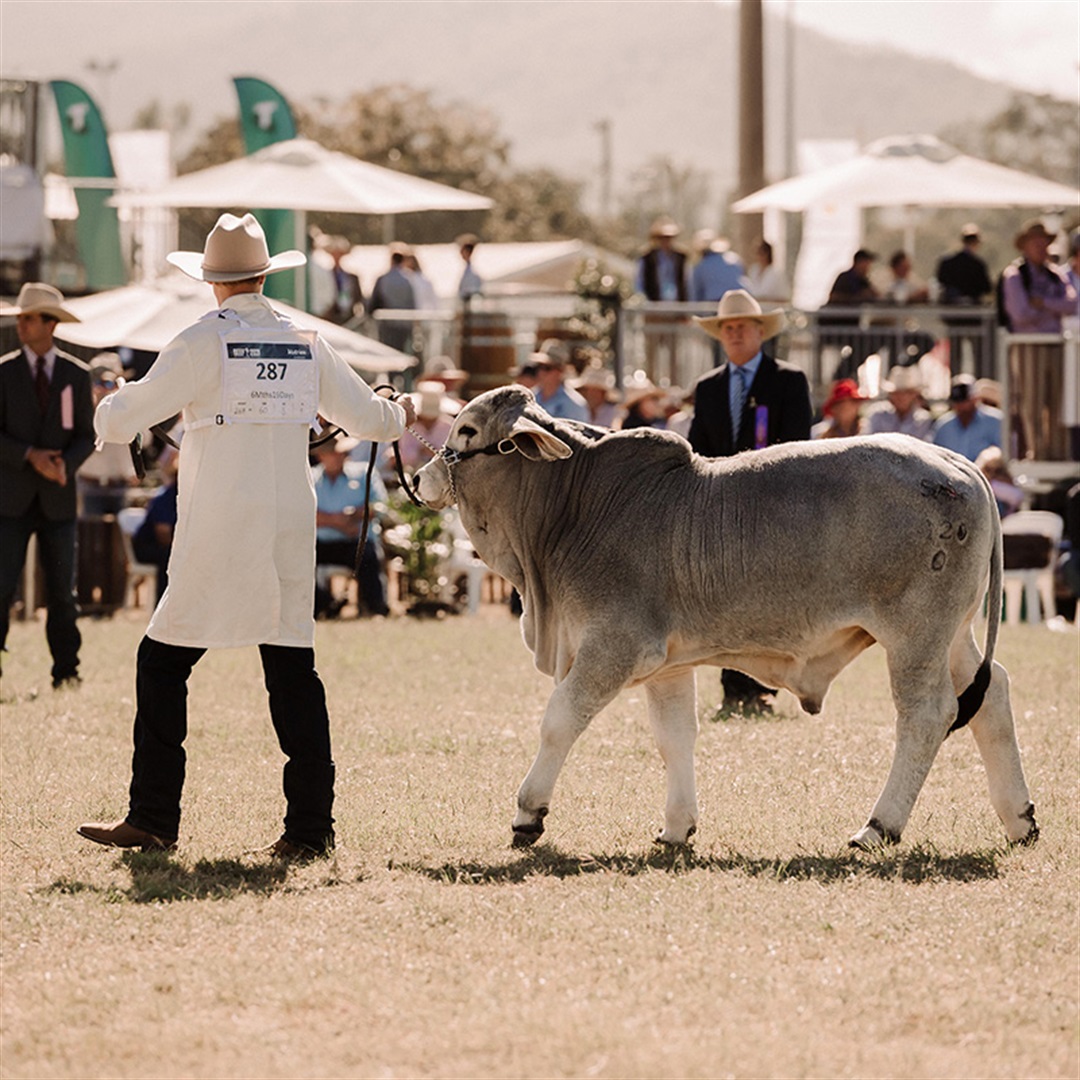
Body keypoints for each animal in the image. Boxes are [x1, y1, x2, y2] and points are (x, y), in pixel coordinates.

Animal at [412, 384, 1036, 846]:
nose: (418, 479)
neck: (573, 506)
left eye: (467, 431)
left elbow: (559, 719)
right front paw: (676, 827)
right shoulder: (666, 666)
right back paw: (1019, 819)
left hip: (915, 635)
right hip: (952, 635)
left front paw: (528, 815)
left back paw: (879, 827)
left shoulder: (613, 645)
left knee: (928, 715)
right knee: (992, 695)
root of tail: (957, 463)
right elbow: (675, 739)